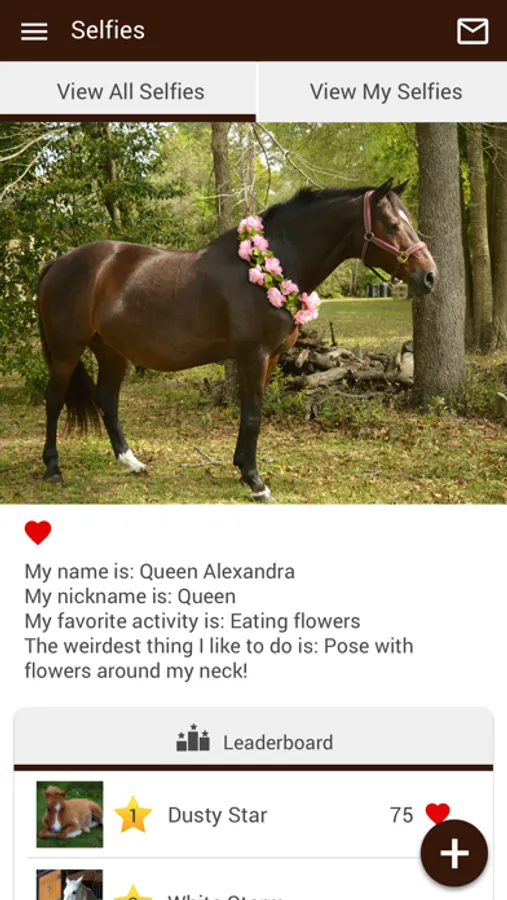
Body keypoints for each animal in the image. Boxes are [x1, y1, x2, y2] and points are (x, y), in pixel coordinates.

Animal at [37, 178, 437, 501]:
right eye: (391, 224)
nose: (429, 276)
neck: (265, 265)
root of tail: (57, 263)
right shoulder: (253, 356)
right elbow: (253, 415)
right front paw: (256, 482)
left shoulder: (269, 358)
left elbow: (251, 415)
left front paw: (243, 469)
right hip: (66, 351)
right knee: (54, 400)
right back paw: (53, 469)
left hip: (111, 351)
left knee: (107, 400)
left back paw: (131, 462)